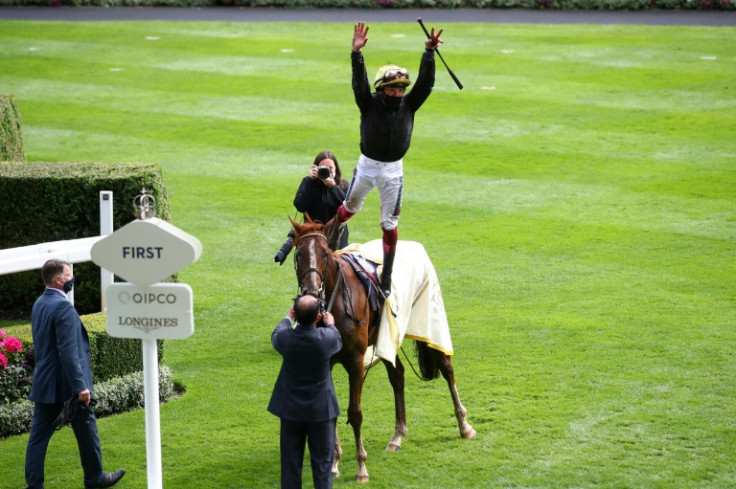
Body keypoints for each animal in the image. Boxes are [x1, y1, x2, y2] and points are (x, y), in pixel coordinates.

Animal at [290, 217, 474, 480]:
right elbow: (330, 410)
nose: (312, 293)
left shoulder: (356, 361)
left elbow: (355, 413)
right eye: (299, 254)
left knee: (447, 369)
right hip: (387, 337)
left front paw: (361, 467)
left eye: (325, 253)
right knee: (398, 376)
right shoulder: (325, 360)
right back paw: (398, 435)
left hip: (430, 322)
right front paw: (334, 463)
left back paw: (464, 425)